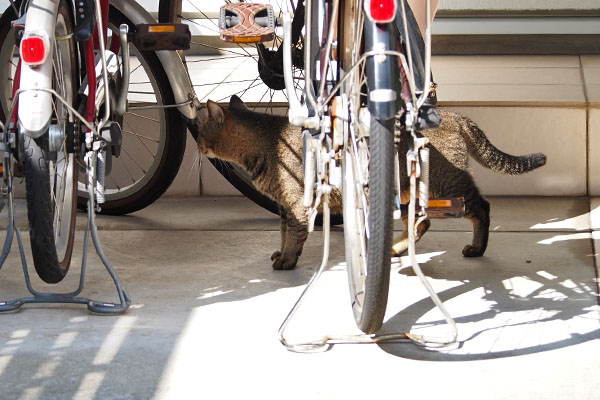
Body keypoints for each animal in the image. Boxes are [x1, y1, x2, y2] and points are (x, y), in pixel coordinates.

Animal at [196, 95, 544, 268]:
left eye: (200, 132)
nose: (197, 145)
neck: (267, 142)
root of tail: (456, 115)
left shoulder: (296, 204)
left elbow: (294, 235)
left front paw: (288, 259)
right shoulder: (285, 206)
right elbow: (284, 233)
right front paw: (281, 253)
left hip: (447, 184)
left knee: (481, 207)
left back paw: (477, 247)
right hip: (406, 192)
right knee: (421, 222)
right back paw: (398, 248)